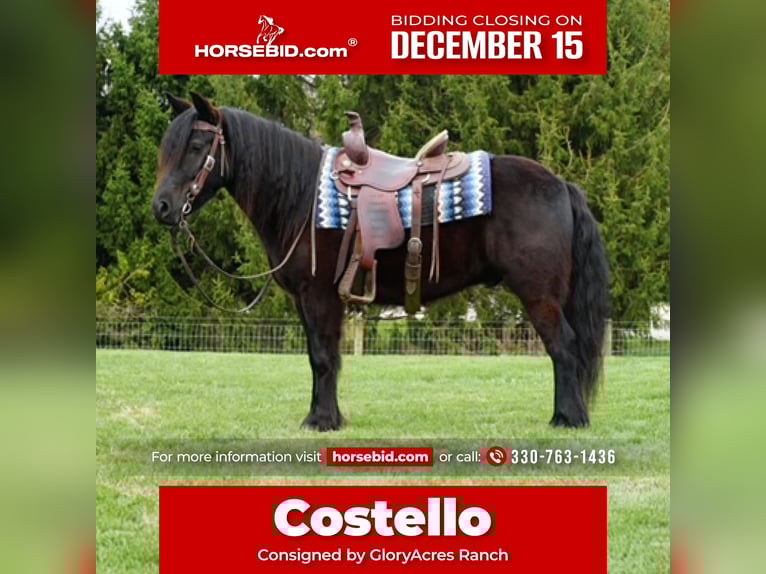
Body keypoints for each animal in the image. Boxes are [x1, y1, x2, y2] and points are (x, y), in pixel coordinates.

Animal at [152, 92, 610, 431]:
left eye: (197, 146)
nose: (162, 207)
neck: (302, 197)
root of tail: (561, 185)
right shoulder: (307, 302)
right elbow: (320, 356)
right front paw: (327, 417)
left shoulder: (320, 297)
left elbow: (323, 357)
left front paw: (321, 421)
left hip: (540, 296)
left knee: (564, 347)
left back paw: (568, 419)